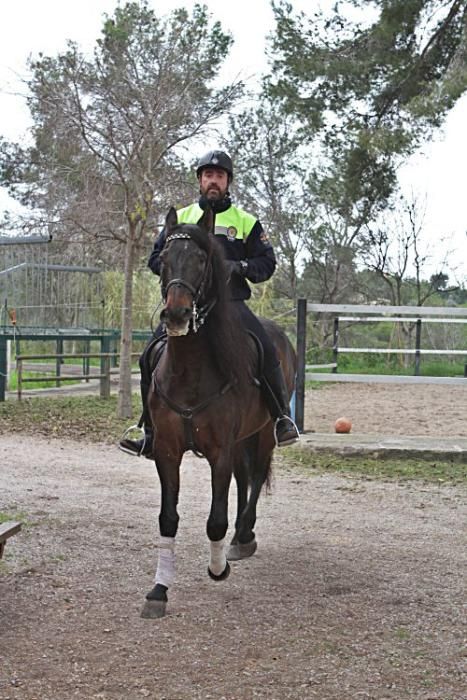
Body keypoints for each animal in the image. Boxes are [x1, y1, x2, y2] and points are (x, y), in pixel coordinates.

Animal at [141, 206, 298, 616]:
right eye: (164, 257)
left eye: (201, 259)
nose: (177, 315)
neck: (190, 370)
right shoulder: (166, 451)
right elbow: (167, 519)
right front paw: (159, 590)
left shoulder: (219, 451)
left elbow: (215, 520)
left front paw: (217, 568)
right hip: (243, 438)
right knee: (245, 479)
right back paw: (242, 537)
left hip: (263, 434)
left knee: (255, 477)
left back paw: (244, 535)